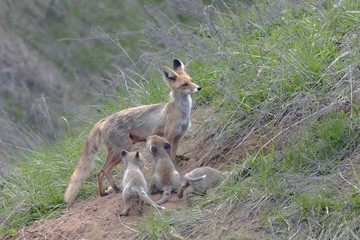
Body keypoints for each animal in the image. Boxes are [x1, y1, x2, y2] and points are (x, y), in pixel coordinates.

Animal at [64, 59, 200, 205]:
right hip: (122, 149)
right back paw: (113, 190)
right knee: (102, 171)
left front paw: (175, 169)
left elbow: (173, 158)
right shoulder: (168, 137)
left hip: (117, 151)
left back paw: (104, 192)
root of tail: (104, 120)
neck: (181, 113)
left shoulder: (177, 137)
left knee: (100, 172)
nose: (199, 88)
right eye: (184, 84)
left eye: (191, 80)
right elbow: (169, 158)